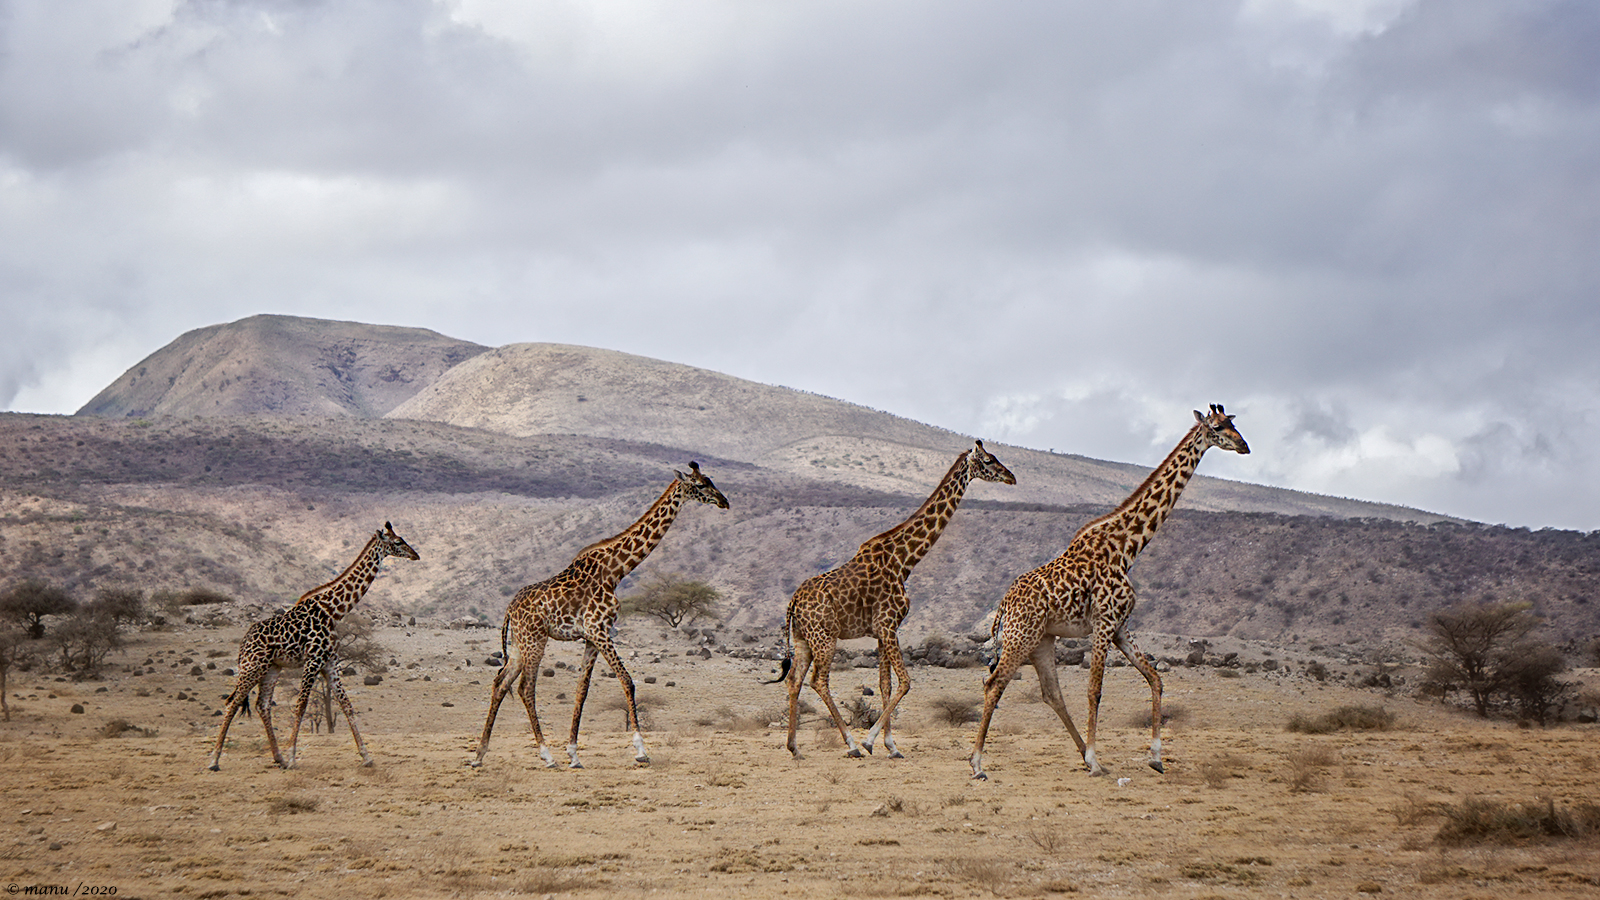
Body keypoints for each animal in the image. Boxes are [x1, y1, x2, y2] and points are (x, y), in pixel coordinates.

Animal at [206, 522, 419, 768]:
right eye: (398, 542)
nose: (416, 555)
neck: (334, 612)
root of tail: (244, 643)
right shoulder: (313, 660)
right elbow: (301, 705)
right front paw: (292, 757)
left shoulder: (330, 663)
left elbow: (346, 705)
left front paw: (366, 756)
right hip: (253, 666)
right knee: (232, 703)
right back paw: (215, 760)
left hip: (272, 668)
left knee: (262, 705)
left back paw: (277, 758)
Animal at [470, 461, 729, 762]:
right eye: (700, 485)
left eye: (711, 480)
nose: (724, 501)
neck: (616, 570)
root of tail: (509, 609)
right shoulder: (599, 630)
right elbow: (627, 680)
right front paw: (640, 749)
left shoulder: (592, 637)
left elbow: (582, 690)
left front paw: (573, 753)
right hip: (535, 640)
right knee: (525, 687)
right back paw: (546, 754)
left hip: (519, 644)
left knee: (500, 683)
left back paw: (479, 754)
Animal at [771, 438, 1017, 755]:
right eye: (988, 460)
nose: (1011, 477)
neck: (904, 561)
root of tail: (793, 603)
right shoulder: (888, 625)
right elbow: (905, 682)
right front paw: (870, 740)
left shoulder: (881, 630)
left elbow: (886, 684)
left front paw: (891, 745)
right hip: (825, 637)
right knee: (819, 681)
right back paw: (850, 744)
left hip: (803, 638)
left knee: (794, 681)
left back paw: (794, 747)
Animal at [966, 403, 1254, 775]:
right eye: (1218, 427)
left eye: (1234, 424)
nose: (1245, 446)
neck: (1127, 548)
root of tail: (1003, 604)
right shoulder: (1103, 623)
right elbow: (1095, 690)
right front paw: (1096, 758)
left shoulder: (1120, 626)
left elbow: (1155, 678)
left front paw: (1156, 757)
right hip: (1021, 636)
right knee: (994, 684)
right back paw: (977, 763)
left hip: (1042, 640)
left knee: (1051, 693)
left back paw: (1076, 751)